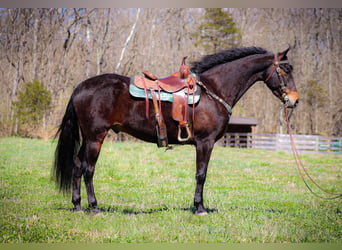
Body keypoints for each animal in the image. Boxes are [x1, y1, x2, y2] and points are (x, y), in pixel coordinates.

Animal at [53, 46, 300, 215]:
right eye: (286, 70)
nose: (295, 100)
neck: (214, 91)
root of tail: (81, 87)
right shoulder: (205, 142)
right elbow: (201, 174)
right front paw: (199, 208)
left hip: (89, 138)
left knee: (77, 165)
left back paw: (77, 206)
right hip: (96, 137)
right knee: (88, 169)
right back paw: (94, 208)